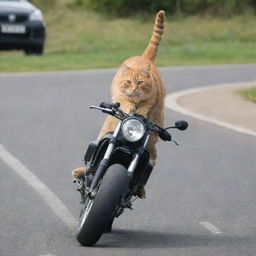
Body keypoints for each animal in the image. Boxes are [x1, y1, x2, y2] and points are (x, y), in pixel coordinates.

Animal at [73, 10, 167, 198]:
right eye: (128, 82)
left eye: (140, 83)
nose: (134, 89)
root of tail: (143, 58)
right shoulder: (118, 93)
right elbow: (123, 99)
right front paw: (129, 105)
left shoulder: (152, 100)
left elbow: (146, 105)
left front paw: (141, 110)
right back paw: (81, 173)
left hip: (152, 143)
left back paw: (140, 189)